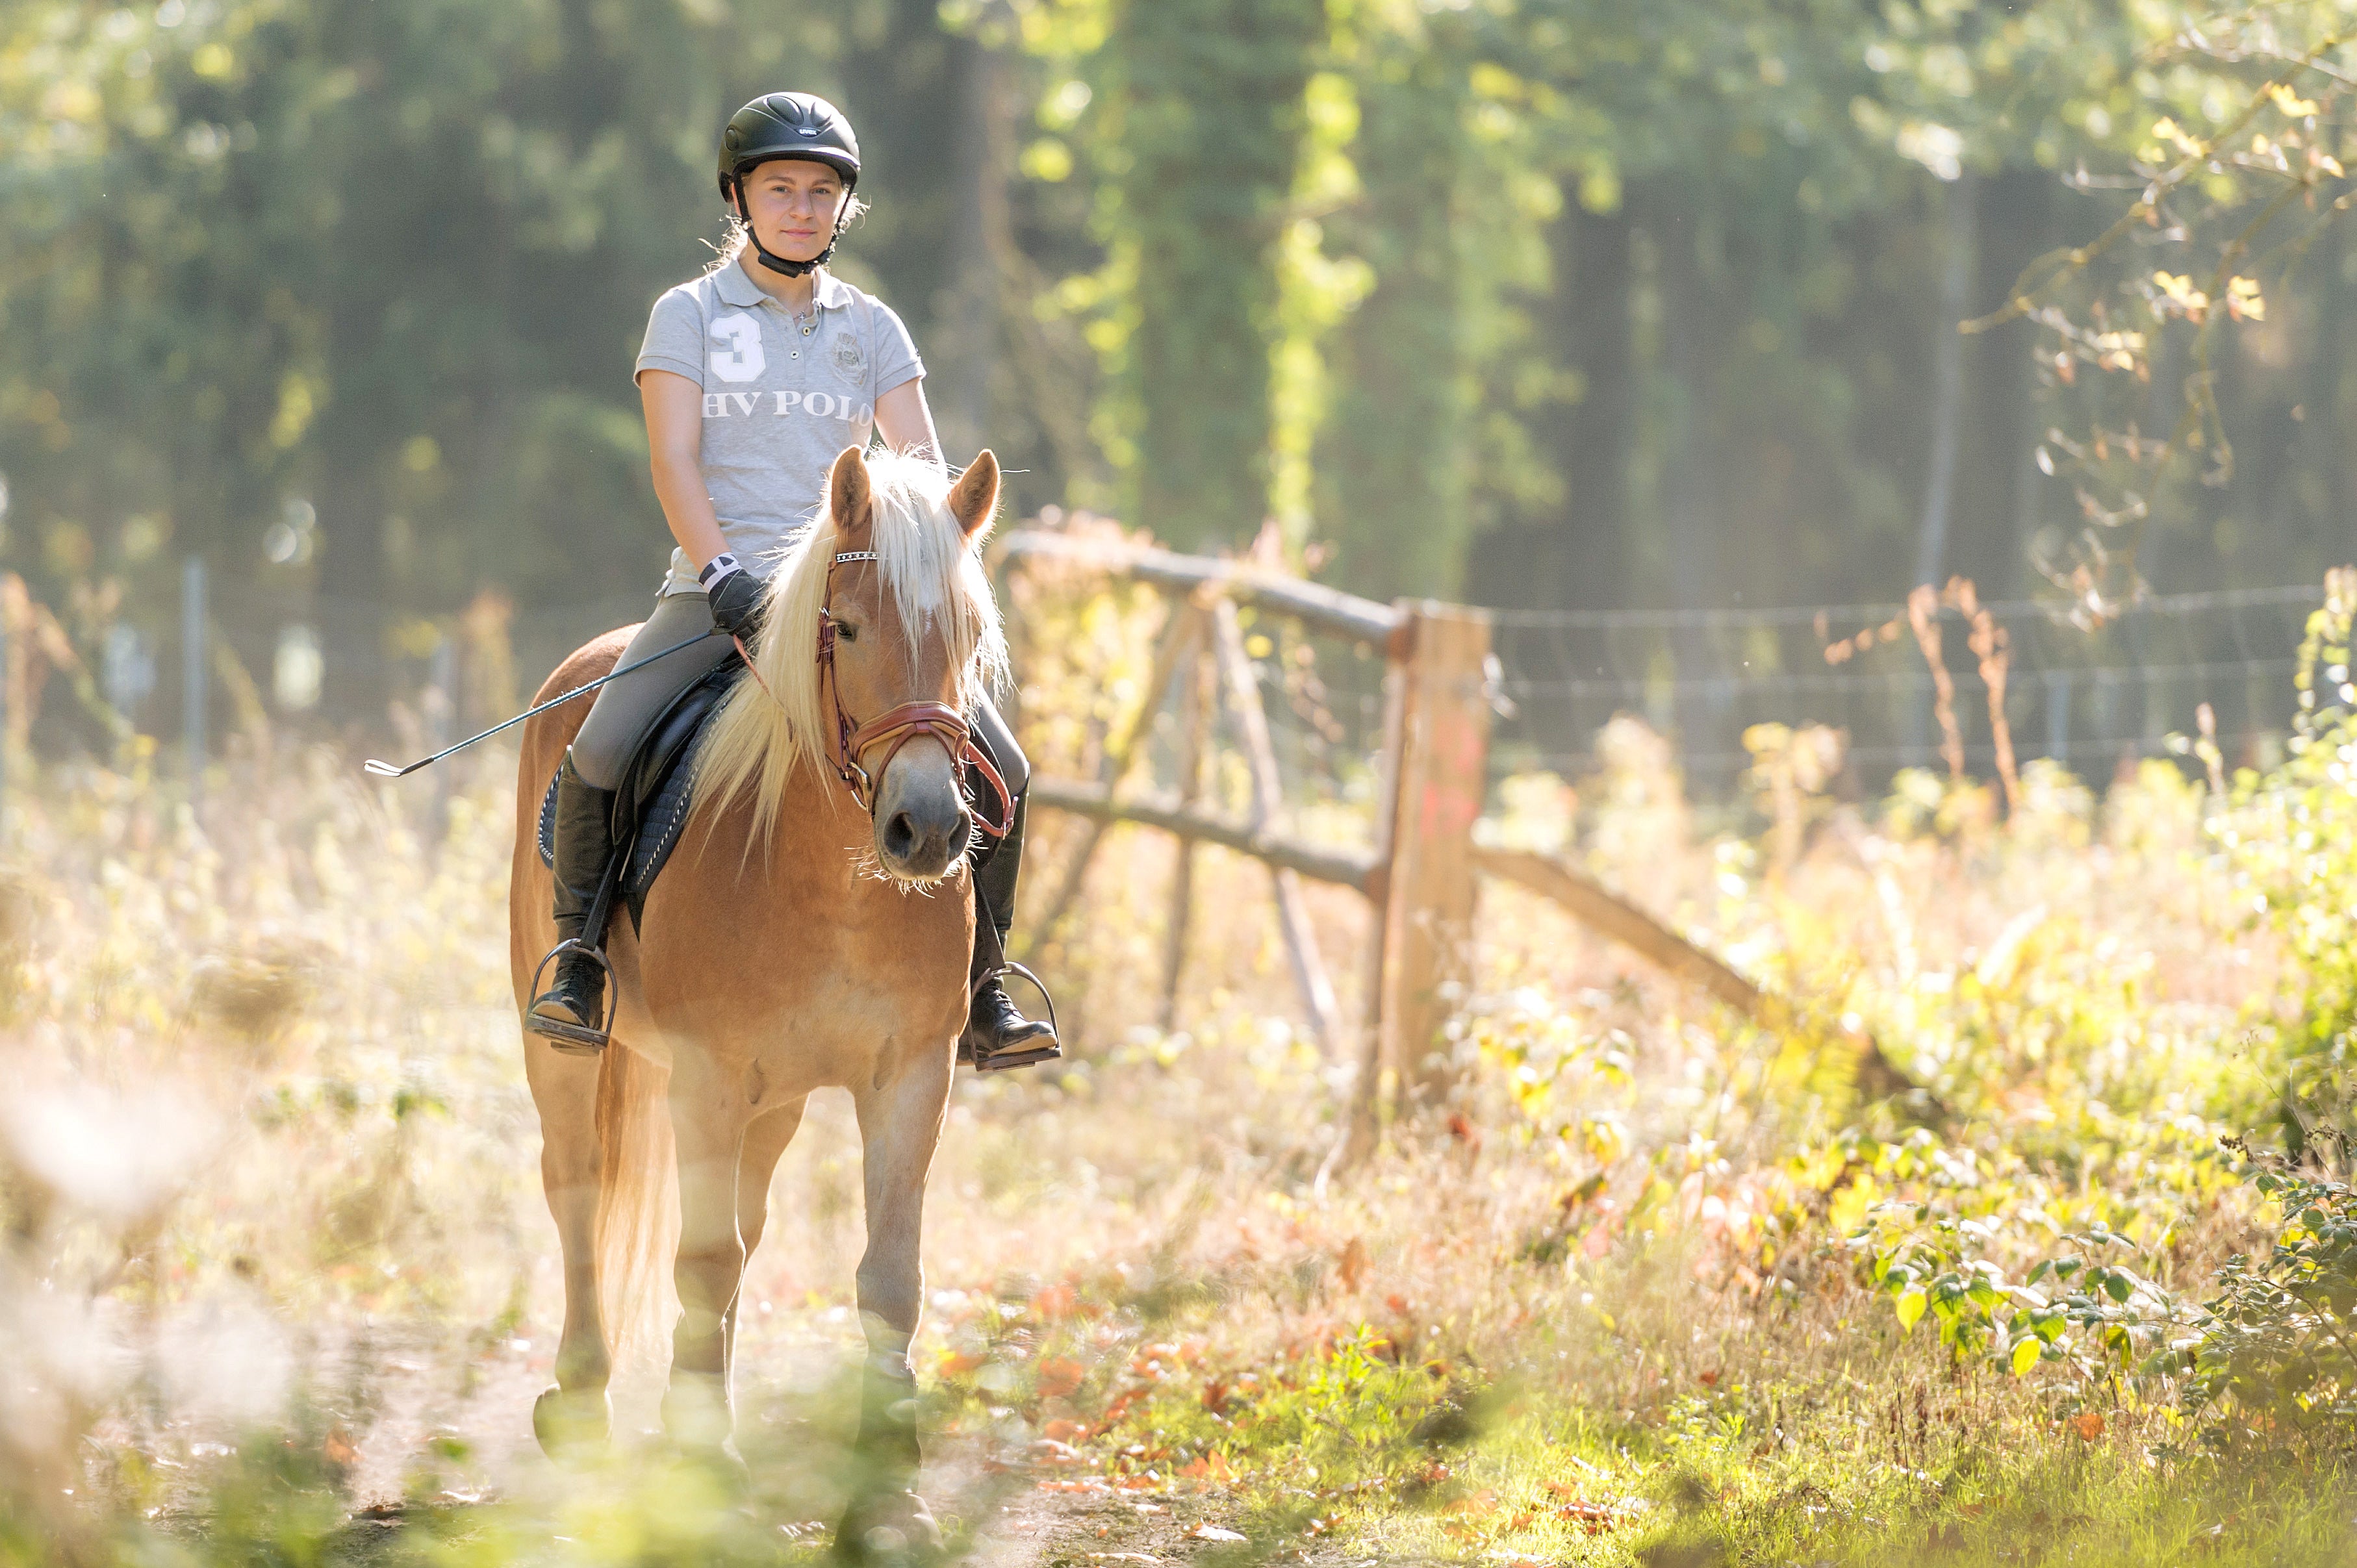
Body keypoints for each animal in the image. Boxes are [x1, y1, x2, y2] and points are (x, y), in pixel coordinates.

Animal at [511, 443, 1008, 1556]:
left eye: (967, 634)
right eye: (850, 626)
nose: (927, 828)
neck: (833, 875)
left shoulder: (911, 1076)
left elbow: (887, 1277)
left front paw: (888, 1497)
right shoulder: (704, 1076)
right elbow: (701, 1259)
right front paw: (711, 1468)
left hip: (774, 1100)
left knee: (744, 1217)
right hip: (565, 1051)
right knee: (577, 1186)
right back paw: (584, 1402)